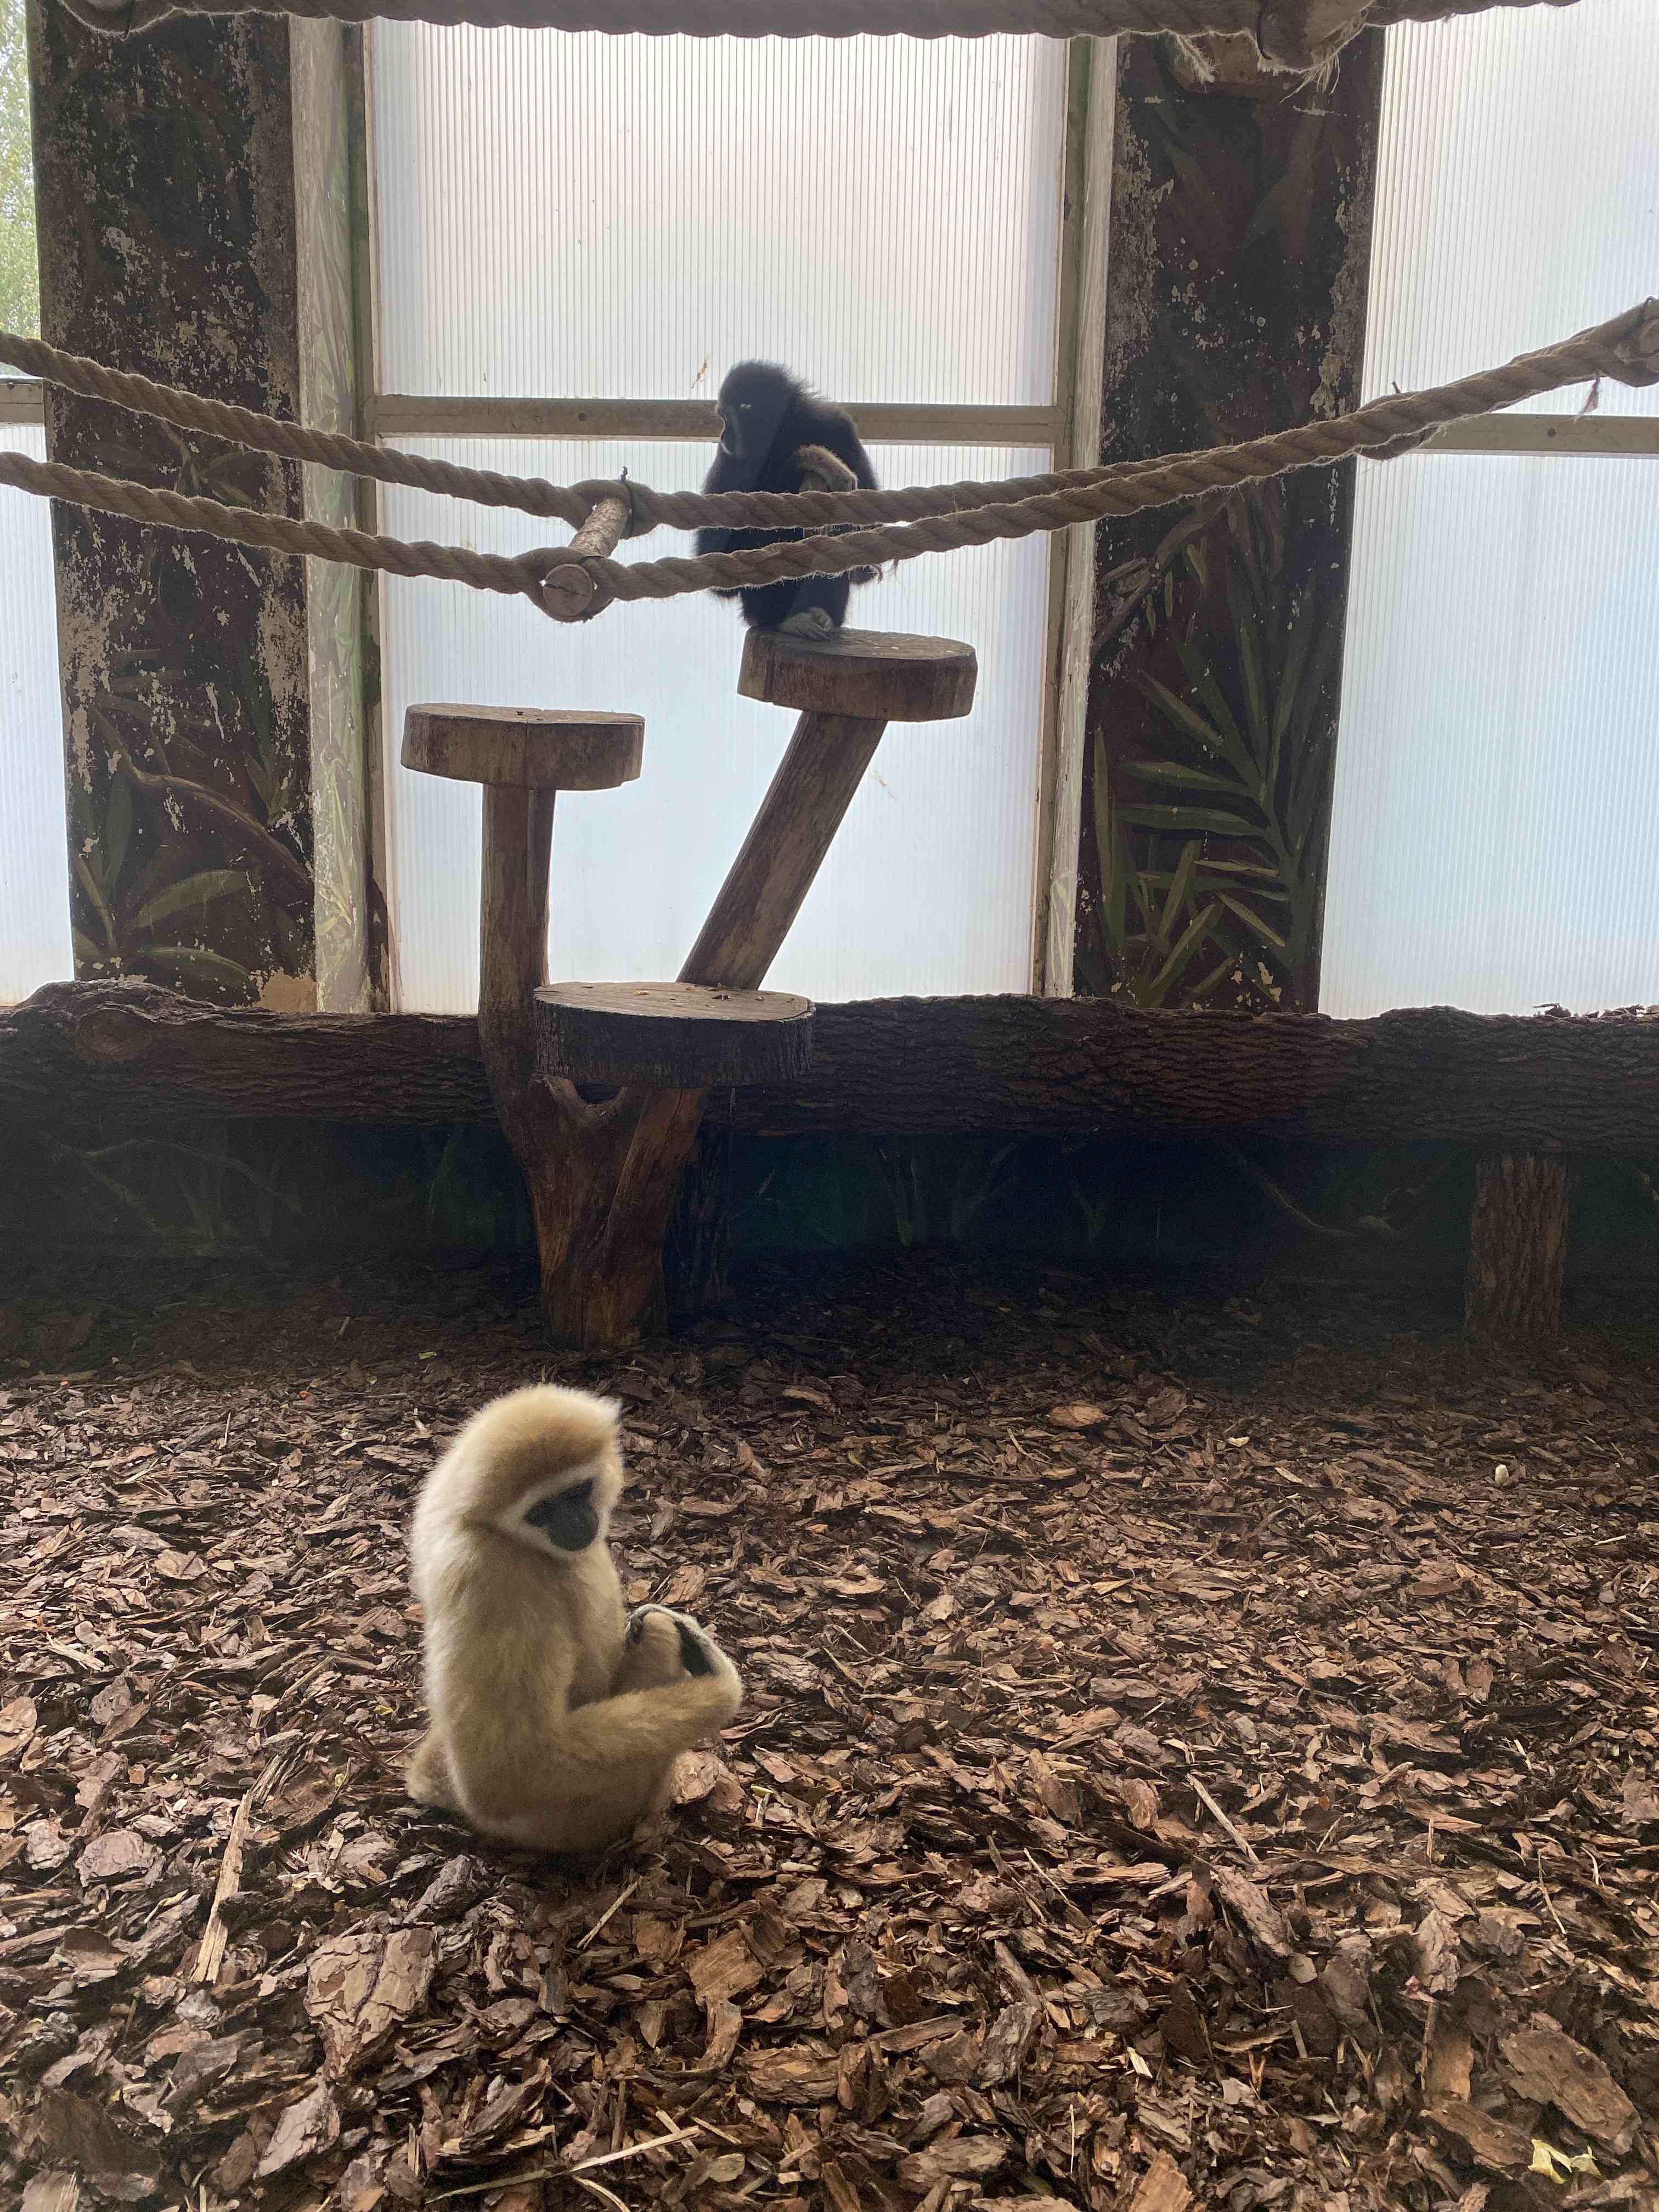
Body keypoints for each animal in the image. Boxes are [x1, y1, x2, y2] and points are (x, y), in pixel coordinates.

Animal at [404, 1385, 743, 1855]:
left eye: (578, 1492)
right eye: (541, 1510)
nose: (574, 1520)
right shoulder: (485, 1576)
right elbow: (506, 1772)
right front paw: (721, 1681)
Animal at [694, 360, 880, 640]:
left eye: (727, 418)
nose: (723, 435)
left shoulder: (839, 427)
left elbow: (867, 562)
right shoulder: (729, 460)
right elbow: (715, 561)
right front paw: (814, 460)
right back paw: (783, 621)